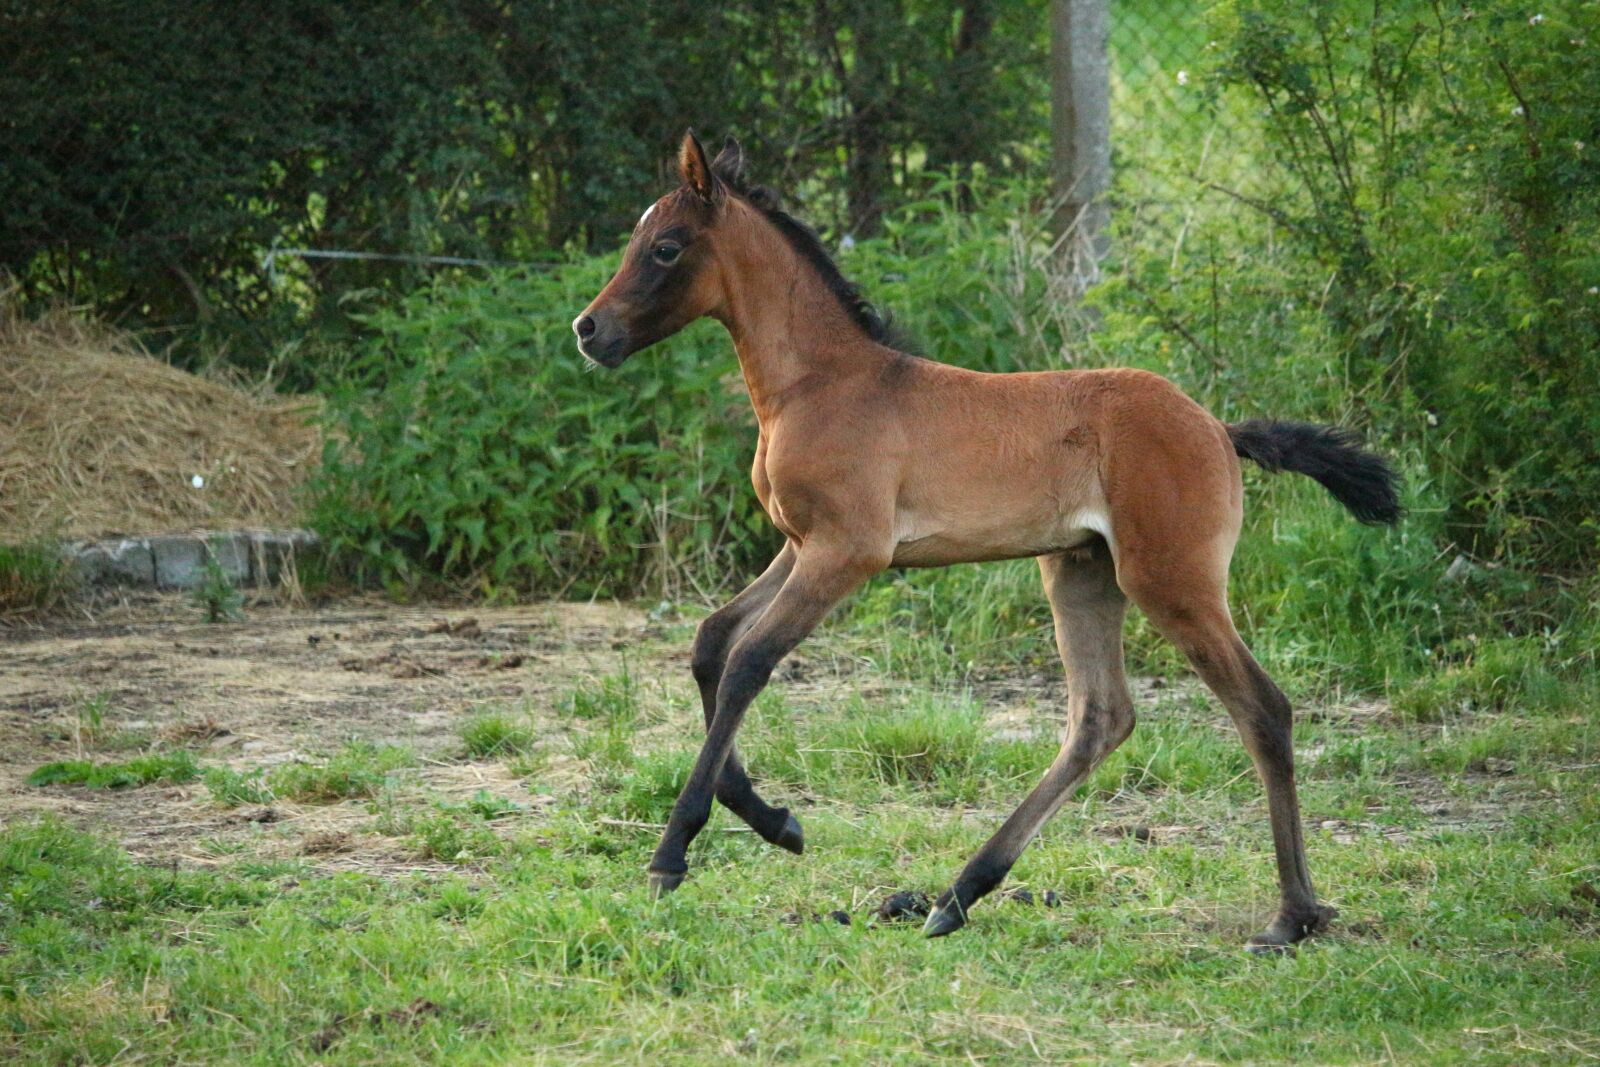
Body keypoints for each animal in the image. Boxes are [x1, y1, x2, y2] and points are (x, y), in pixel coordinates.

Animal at [572, 131, 1400, 950]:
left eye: (666, 248)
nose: (589, 330)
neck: (820, 385)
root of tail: (1220, 430)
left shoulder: (848, 551)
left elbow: (748, 661)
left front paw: (675, 851)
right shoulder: (800, 545)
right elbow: (712, 642)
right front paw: (777, 821)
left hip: (1172, 581)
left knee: (1262, 708)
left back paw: (1293, 913)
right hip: (1080, 572)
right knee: (1101, 718)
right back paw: (957, 894)